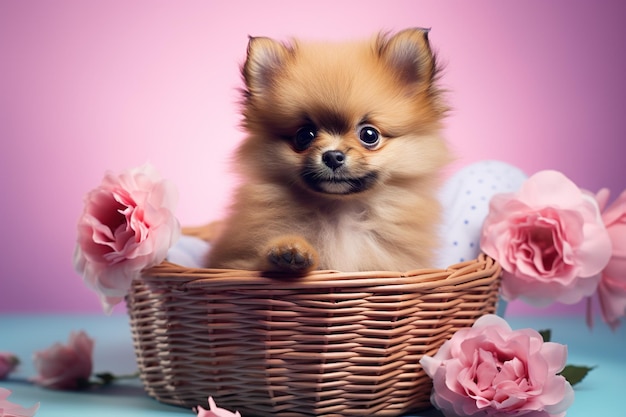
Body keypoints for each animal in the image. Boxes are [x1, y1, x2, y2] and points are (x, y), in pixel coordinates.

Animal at [208, 26, 448, 272]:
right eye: (304, 135)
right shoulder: (235, 262)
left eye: (369, 135)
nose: (332, 156)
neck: (339, 211)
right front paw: (289, 250)